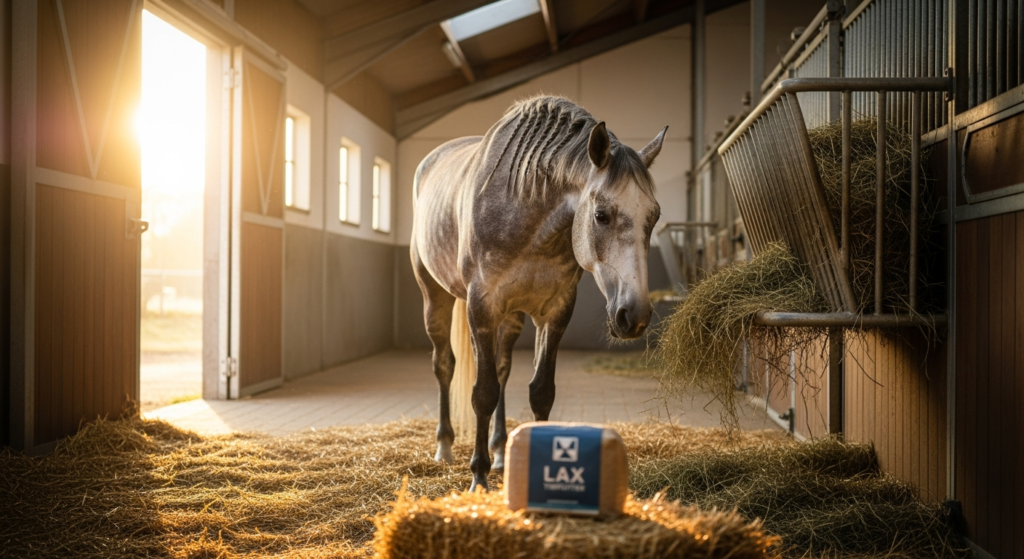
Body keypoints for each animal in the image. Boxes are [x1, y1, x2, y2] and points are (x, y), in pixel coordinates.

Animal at [410, 95, 666, 491]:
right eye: (602, 215)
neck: (526, 209)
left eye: (654, 217)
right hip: (435, 297)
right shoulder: (481, 308)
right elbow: (482, 393)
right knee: (444, 365)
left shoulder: (555, 311)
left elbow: (540, 391)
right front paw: (478, 478)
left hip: (511, 317)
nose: (634, 316)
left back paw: (500, 451)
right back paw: (445, 447)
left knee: (501, 369)